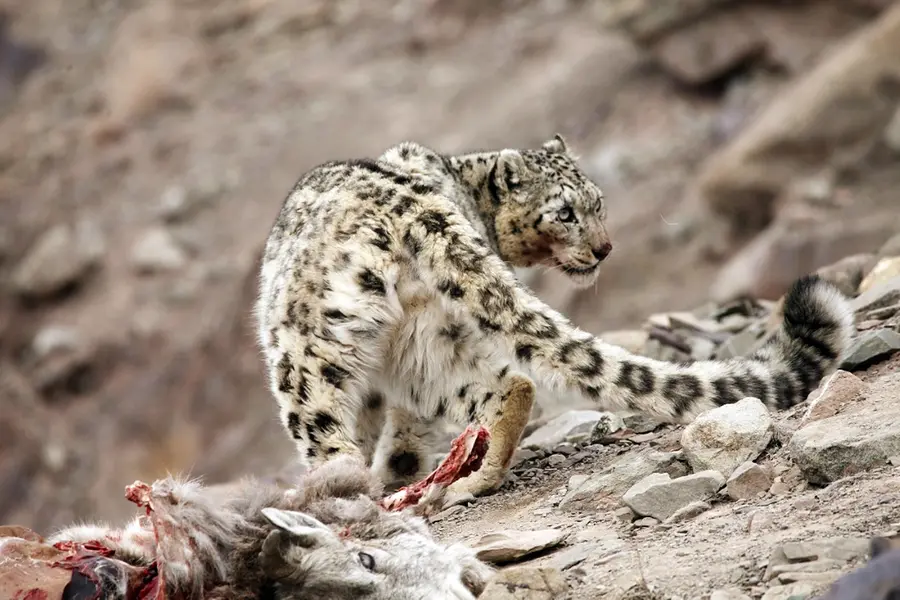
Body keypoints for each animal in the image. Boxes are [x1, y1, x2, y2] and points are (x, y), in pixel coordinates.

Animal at [255, 133, 854, 503]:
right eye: (565, 212)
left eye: (597, 203)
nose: (605, 248)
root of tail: (415, 207)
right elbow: (402, 432)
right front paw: (401, 471)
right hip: (420, 344)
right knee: (509, 385)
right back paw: (475, 480)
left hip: (308, 355)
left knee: (328, 436)